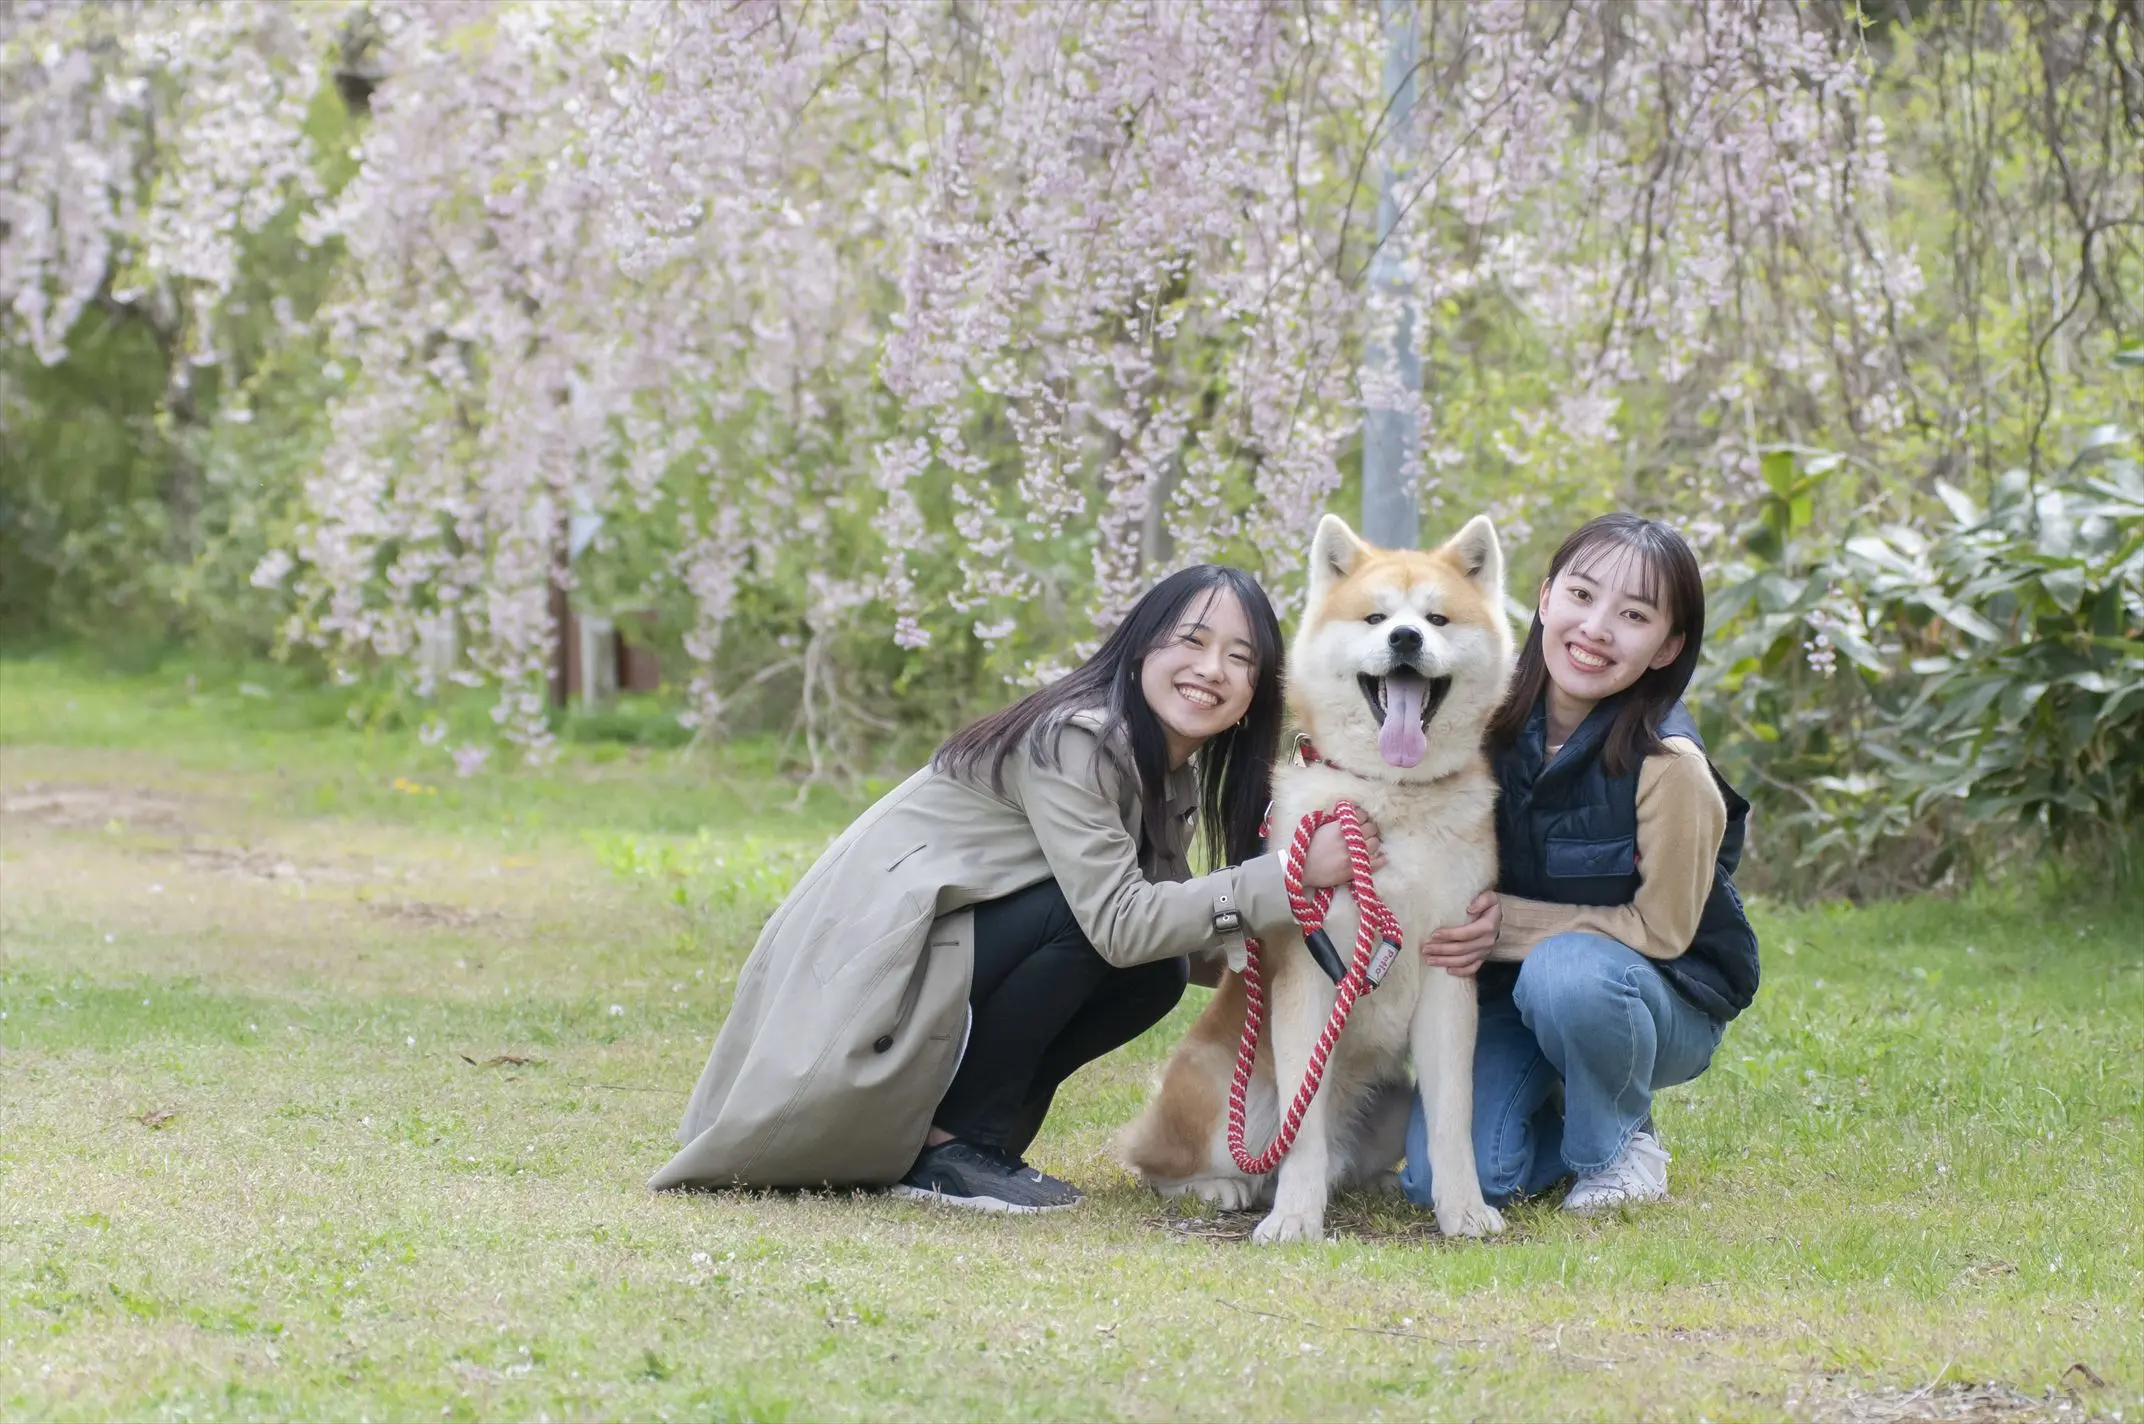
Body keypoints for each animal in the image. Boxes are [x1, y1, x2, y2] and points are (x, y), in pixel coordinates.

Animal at [1123, 516, 1509, 1243]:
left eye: (1437, 618)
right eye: (1377, 617)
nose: (1406, 638)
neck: (1389, 795)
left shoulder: (1450, 974)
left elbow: (1454, 1118)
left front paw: (1464, 1209)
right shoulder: (1308, 971)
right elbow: (1300, 1131)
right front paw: (1295, 1220)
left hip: (1391, 1101)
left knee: (1344, 1155)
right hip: (1224, 1092)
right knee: (1167, 1163)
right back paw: (1226, 1187)